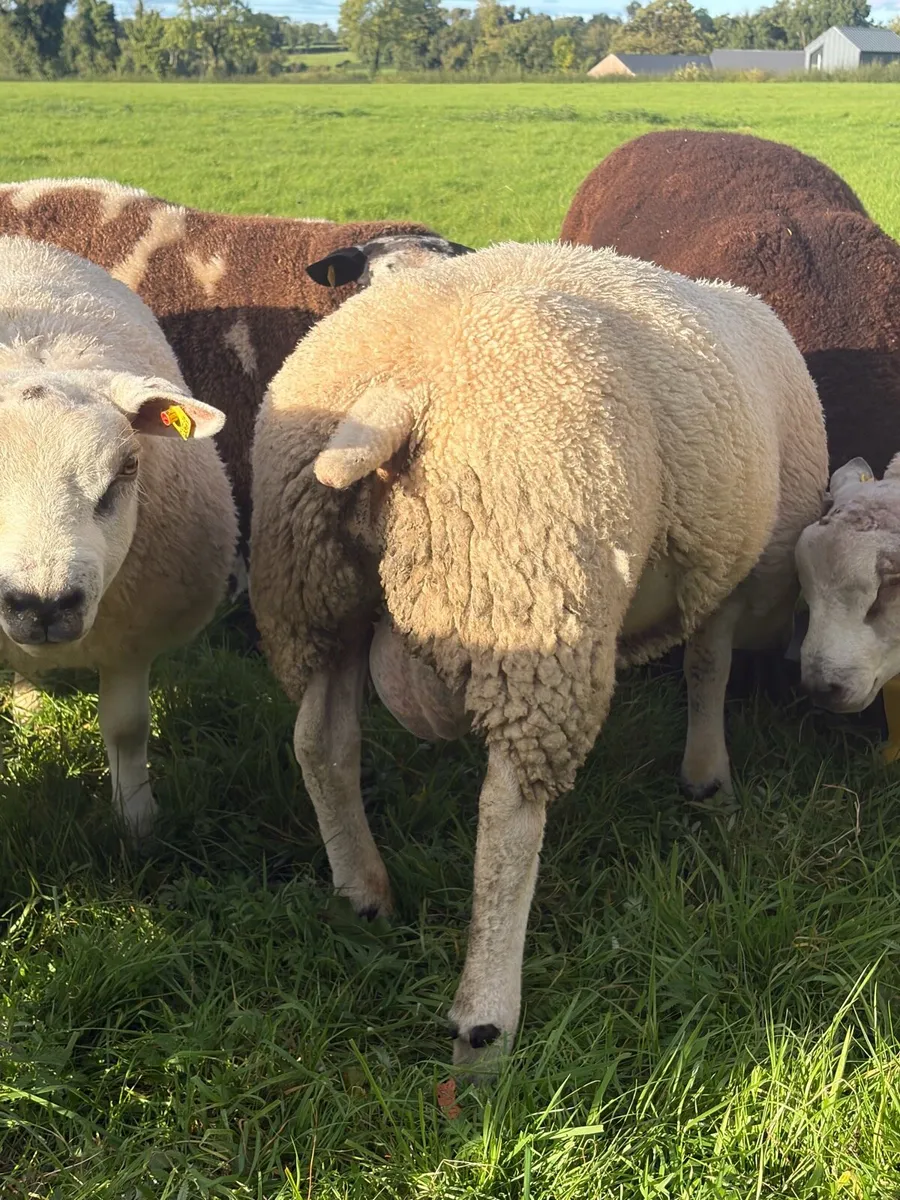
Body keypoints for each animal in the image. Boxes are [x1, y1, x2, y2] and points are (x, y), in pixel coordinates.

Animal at [249, 240, 827, 1067]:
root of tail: (395, 395)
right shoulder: (729, 565)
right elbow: (707, 666)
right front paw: (708, 774)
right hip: (530, 590)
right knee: (509, 814)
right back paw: (486, 1020)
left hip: (316, 590)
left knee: (321, 744)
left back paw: (363, 891)